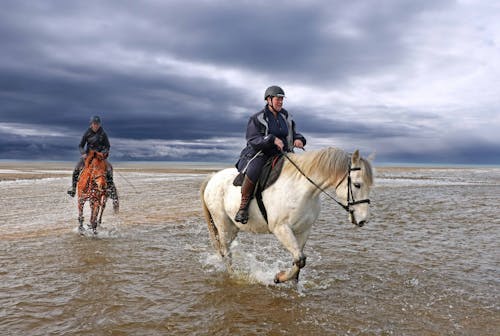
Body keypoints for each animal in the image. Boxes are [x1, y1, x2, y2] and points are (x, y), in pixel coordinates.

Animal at [201, 148, 374, 282]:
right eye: (357, 185)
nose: (363, 220)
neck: (303, 190)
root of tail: (213, 178)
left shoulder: (303, 230)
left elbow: (298, 260)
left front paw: (291, 280)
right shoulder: (281, 228)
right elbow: (300, 259)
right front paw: (279, 278)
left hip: (232, 228)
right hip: (224, 226)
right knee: (226, 252)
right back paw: (234, 275)